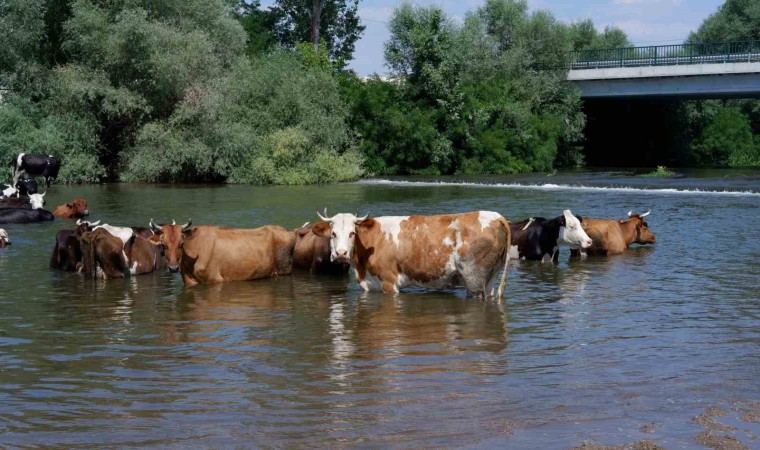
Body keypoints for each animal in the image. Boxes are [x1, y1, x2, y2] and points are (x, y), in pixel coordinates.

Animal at [148, 221, 294, 286]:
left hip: (284, 269)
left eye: (181, 243)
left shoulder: (215, 279)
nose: (173, 268)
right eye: (164, 244)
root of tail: (283, 229)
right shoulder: (189, 282)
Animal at [312, 210, 512, 298]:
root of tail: (496, 216)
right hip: (490, 277)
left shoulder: (389, 282)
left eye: (352, 233)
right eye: (333, 234)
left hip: (474, 279)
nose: (341, 253)